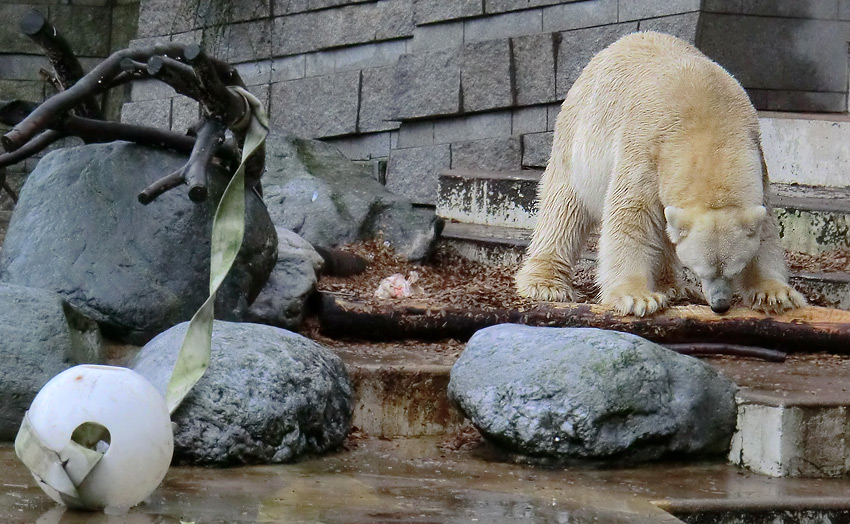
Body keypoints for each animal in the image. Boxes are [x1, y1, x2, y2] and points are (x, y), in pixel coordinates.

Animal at [516, 33, 800, 320]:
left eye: (735, 269)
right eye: (700, 270)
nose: (720, 305)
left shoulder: (756, 158)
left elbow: (766, 230)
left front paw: (775, 294)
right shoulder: (646, 148)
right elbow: (631, 215)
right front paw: (637, 298)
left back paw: (673, 286)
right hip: (579, 134)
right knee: (564, 207)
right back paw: (546, 284)